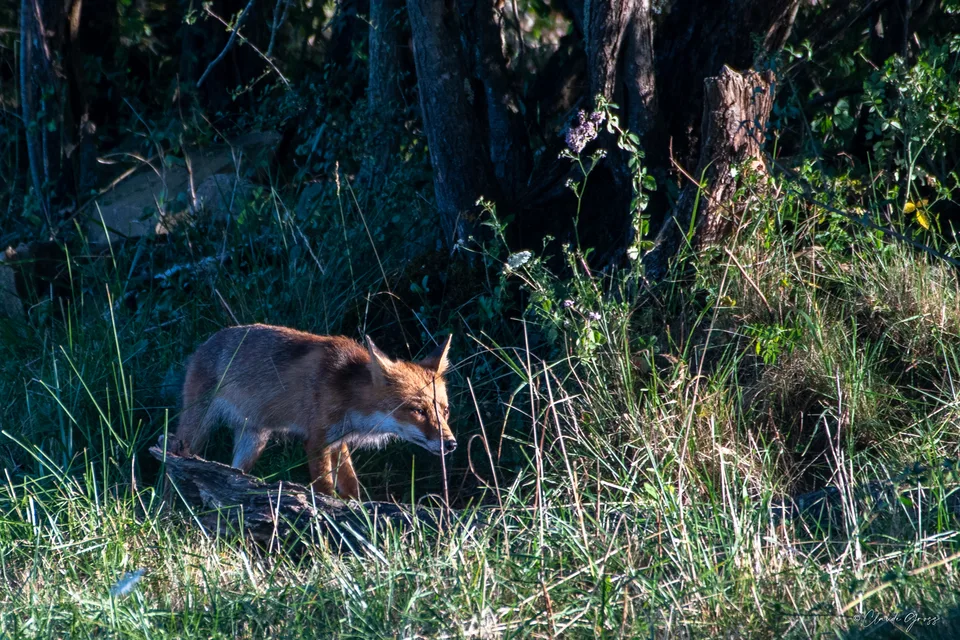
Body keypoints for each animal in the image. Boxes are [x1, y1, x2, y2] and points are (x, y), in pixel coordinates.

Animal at [174, 324, 455, 500]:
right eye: (417, 410)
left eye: (445, 411)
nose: (451, 444)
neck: (347, 391)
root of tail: (205, 344)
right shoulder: (317, 439)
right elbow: (324, 488)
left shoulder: (338, 440)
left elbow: (350, 484)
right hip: (195, 430)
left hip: (253, 442)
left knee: (235, 474)